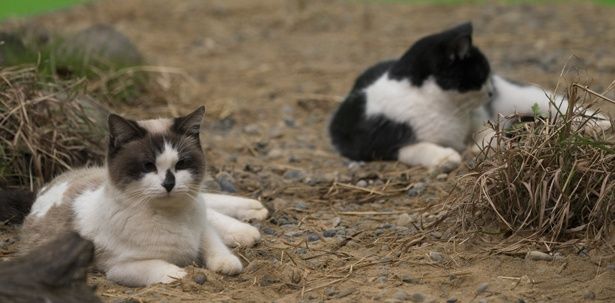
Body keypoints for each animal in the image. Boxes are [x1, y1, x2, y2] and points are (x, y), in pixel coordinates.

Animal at [22, 107, 268, 288]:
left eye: (181, 164)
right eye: (148, 166)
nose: (169, 184)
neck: (172, 216)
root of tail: (51, 184)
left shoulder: (202, 228)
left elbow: (212, 243)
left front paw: (227, 262)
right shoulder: (119, 267)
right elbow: (165, 269)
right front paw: (182, 274)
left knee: (209, 207)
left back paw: (251, 218)